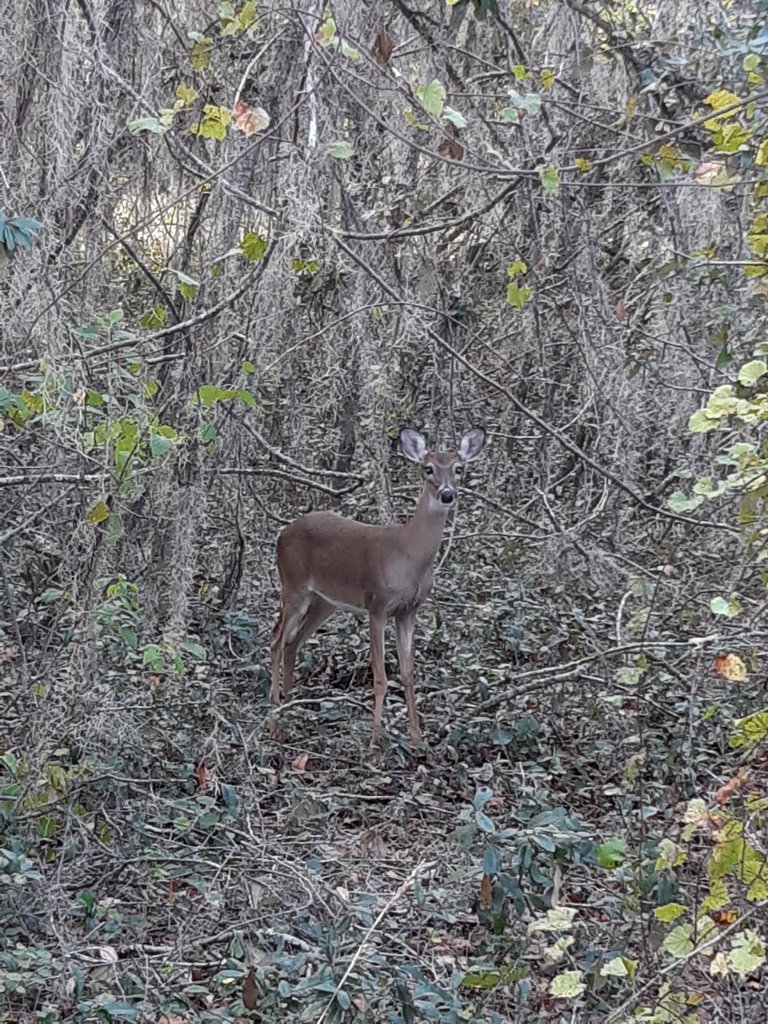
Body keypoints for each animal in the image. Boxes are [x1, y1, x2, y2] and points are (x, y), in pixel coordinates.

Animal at [269, 427, 486, 750]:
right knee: (275, 639)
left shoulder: (408, 610)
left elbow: (408, 673)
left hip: (324, 601)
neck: (410, 555)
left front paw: (417, 739)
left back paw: (286, 716)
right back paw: (273, 720)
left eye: (459, 468)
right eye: (428, 469)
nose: (447, 494)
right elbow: (381, 676)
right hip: (294, 585)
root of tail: (283, 533)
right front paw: (373, 744)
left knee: (291, 643)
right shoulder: (377, 604)